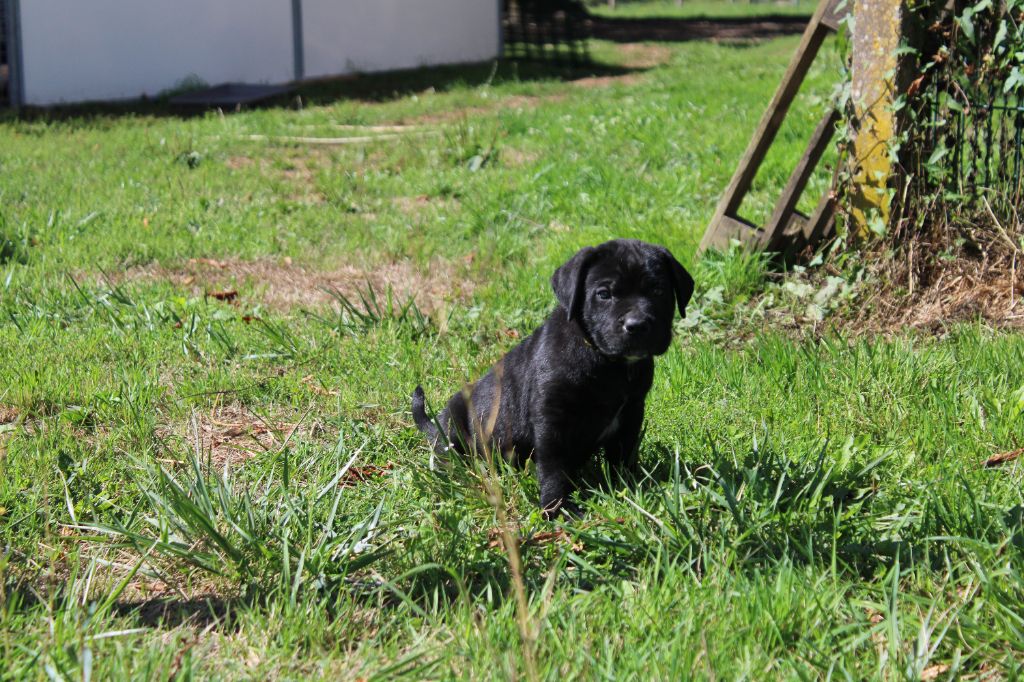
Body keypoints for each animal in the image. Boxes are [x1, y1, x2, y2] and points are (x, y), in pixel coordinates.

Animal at [412, 239, 694, 518]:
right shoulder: (552, 419)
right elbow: (554, 467)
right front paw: (557, 507)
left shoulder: (632, 412)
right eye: (604, 294)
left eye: (658, 291)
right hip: (454, 426)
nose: (636, 325)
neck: (606, 362)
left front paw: (630, 488)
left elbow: (623, 454)